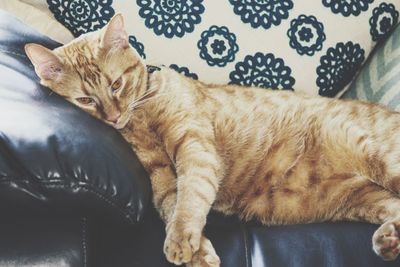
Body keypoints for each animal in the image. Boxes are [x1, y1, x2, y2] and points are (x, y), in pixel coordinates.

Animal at [25, 13, 400, 267]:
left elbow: (190, 199)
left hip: (382, 162)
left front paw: (182, 241)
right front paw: (198, 252)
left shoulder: (195, 148)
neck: (142, 115)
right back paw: (389, 239)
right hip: (362, 198)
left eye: (116, 85)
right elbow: (172, 206)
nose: (113, 117)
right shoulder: (162, 177)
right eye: (86, 100)